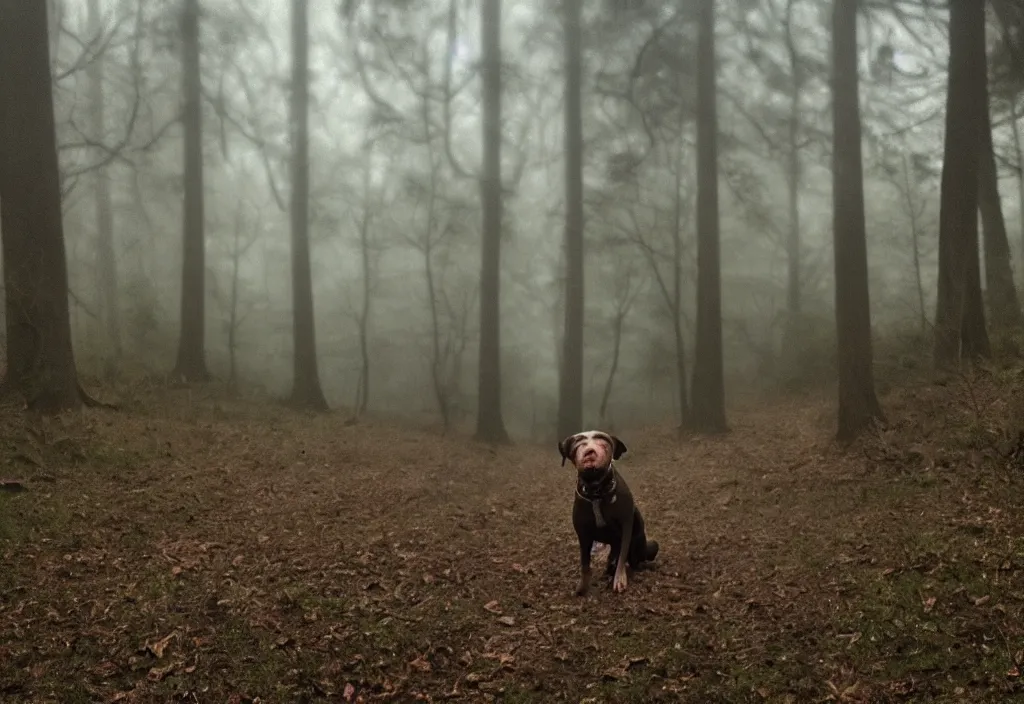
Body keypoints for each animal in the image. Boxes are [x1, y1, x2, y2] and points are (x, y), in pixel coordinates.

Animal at [557, 429, 659, 593]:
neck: (596, 492)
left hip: (641, 544)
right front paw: (582, 587)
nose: (589, 451)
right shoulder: (583, 534)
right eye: (577, 443)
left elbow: (622, 555)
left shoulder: (626, 525)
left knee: (636, 560)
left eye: (603, 441)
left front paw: (619, 579)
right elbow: (585, 563)